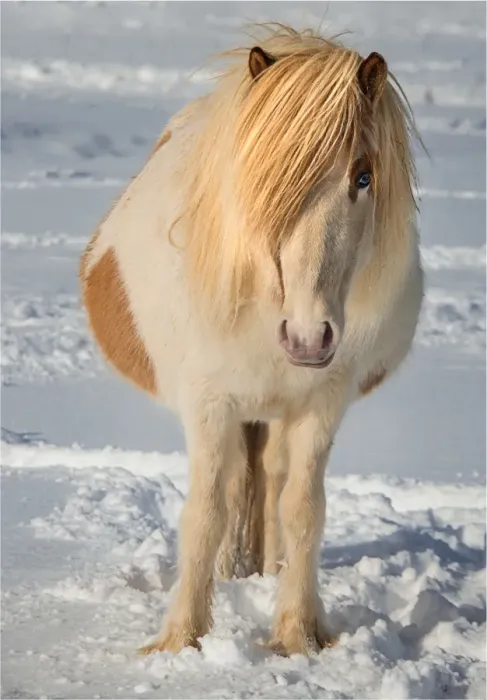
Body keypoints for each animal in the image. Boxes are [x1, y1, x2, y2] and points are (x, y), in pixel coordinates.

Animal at [79, 24, 424, 657]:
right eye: (262, 182)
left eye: (363, 175)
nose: (309, 337)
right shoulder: (209, 403)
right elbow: (206, 513)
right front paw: (180, 639)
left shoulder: (320, 405)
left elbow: (302, 509)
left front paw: (296, 635)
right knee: (238, 486)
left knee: (270, 484)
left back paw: (262, 576)